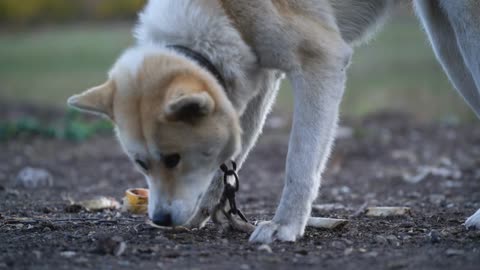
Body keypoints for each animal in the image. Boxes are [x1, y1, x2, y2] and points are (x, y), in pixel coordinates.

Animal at [68, 0, 480, 244]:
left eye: (173, 159)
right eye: (140, 163)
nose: (162, 219)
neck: (222, 13)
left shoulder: (322, 61)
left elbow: (299, 163)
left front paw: (285, 225)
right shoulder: (258, 78)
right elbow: (228, 163)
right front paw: (205, 210)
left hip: (463, 36)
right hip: (446, 42)